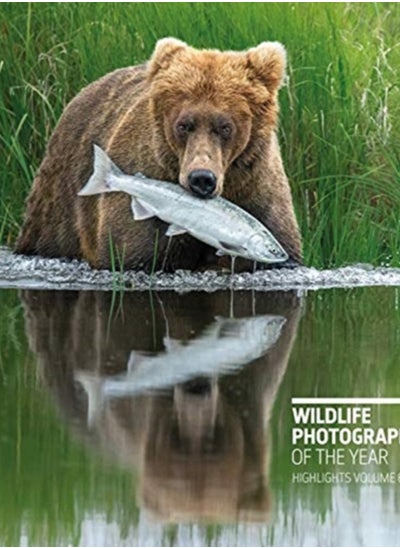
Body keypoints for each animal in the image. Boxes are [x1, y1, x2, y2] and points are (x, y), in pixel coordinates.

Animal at [16, 36, 304, 272]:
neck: (230, 186)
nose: (201, 178)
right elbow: (134, 254)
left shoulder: (259, 191)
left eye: (225, 127)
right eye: (183, 125)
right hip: (61, 196)